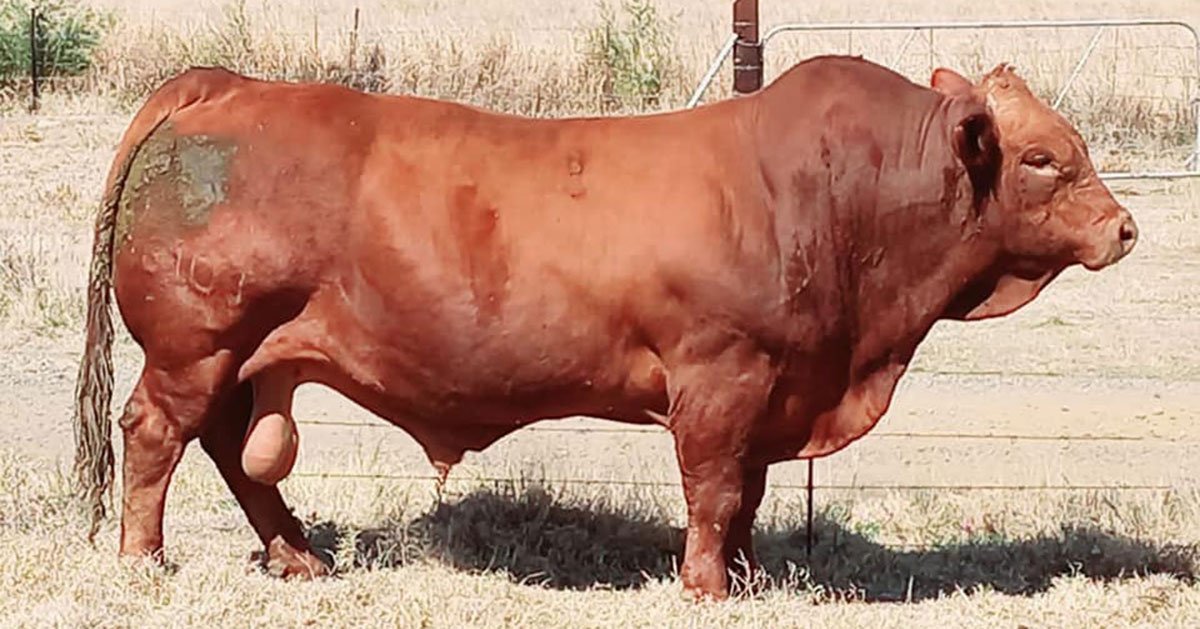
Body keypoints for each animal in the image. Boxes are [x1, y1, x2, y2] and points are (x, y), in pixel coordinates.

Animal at [73, 55, 1137, 601]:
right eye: (1044, 158)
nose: (1124, 226)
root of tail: (227, 82)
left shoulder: (771, 388)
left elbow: (748, 496)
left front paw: (747, 578)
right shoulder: (720, 376)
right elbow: (714, 491)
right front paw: (705, 586)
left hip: (236, 355)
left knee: (228, 449)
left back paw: (297, 556)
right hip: (195, 344)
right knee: (157, 434)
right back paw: (143, 561)